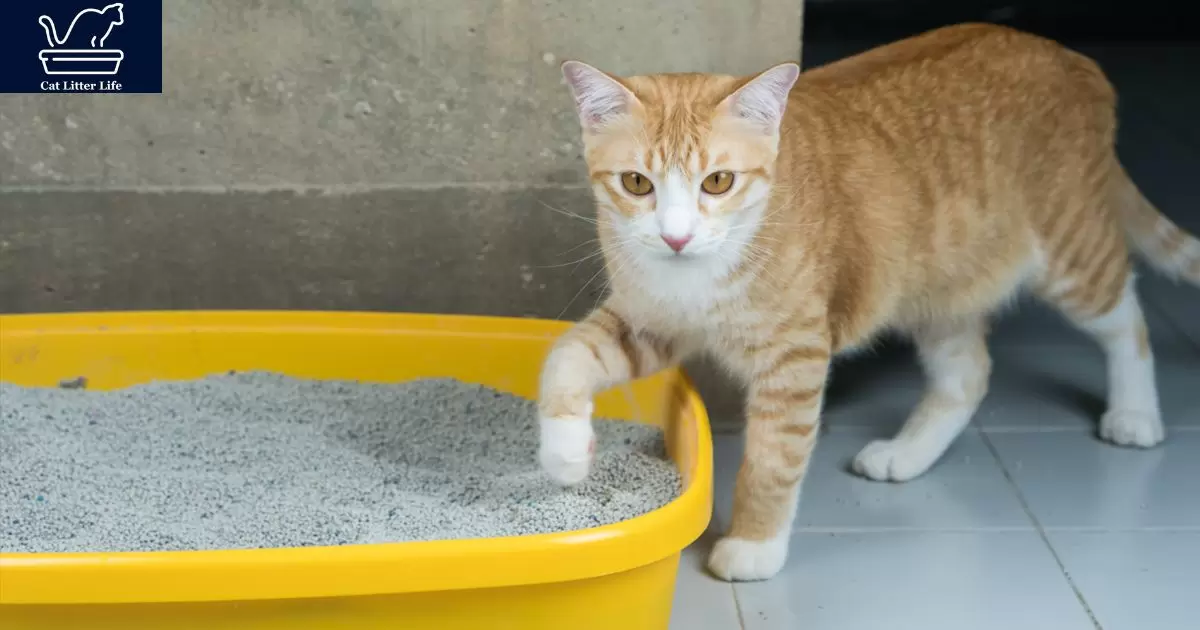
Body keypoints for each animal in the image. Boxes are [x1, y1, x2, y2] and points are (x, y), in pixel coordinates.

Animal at [537, 24, 1200, 580]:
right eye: (637, 183)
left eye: (718, 182)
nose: (676, 237)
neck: (700, 275)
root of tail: (1066, 54)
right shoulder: (649, 321)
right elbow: (564, 358)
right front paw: (565, 453)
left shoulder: (795, 356)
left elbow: (773, 459)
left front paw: (753, 545)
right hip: (935, 289)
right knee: (969, 374)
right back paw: (907, 454)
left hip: (1070, 253)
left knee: (1126, 316)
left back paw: (1136, 414)